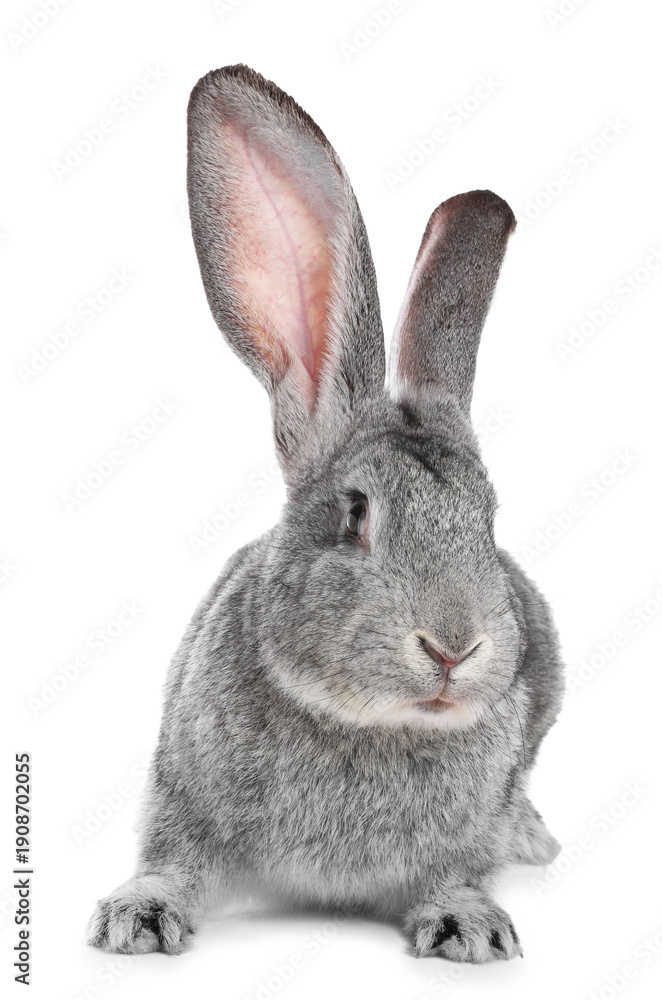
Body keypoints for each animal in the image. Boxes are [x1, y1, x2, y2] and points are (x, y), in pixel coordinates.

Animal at [87, 64, 564, 964]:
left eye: (487, 521)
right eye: (355, 515)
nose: (454, 648)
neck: (364, 720)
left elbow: (457, 871)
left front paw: (470, 926)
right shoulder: (183, 792)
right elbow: (173, 857)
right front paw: (137, 916)